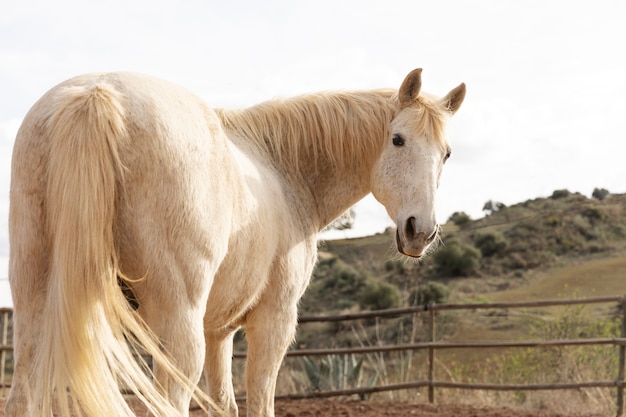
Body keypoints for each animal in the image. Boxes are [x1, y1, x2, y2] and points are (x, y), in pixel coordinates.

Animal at [4, 67, 464, 412]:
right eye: (398, 140)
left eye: (446, 154)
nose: (420, 231)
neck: (283, 169)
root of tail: (97, 94)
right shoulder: (274, 321)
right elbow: (259, 401)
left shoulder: (218, 331)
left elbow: (224, 404)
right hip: (178, 328)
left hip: (34, 307)